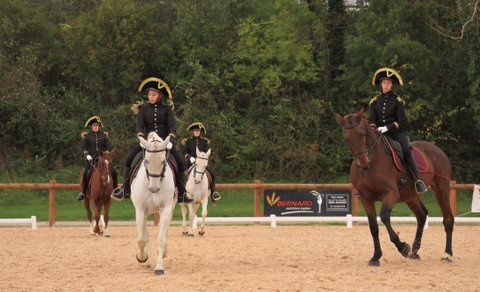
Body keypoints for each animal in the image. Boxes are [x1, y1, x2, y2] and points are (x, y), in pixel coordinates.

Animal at [130, 132, 175, 276]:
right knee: (145, 233)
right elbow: (141, 239)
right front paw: (142, 257)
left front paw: (159, 267)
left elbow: (161, 238)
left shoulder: (166, 209)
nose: (154, 189)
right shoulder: (140, 210)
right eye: (146, 161)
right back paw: (147, 260)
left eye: (163, 161)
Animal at [334, 108, 454, 266]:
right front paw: (375, 257)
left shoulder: (391, 194)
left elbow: (385, 217)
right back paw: (414, 251)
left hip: (441, 189)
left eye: (363, 134)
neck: (371, 164)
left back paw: (447, 254)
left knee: (448, 219)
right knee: (421, 216)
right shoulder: (366, 198)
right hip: (410, 196)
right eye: (347, 138)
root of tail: (437, 149)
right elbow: (373, 227)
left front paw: (403, 247)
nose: (363, 162)